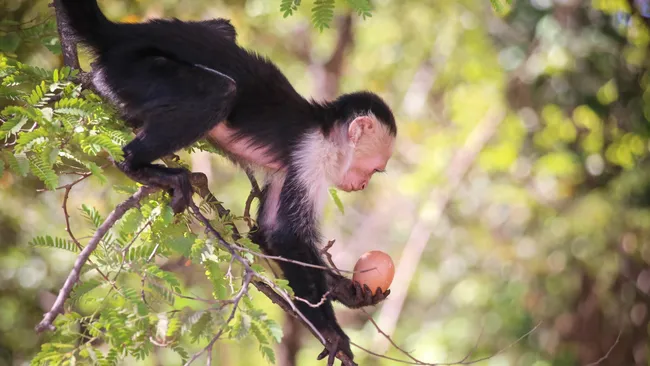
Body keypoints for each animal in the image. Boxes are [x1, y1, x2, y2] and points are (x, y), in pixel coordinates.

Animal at [59, 0, 394, 364]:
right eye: (375, 170)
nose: (363, 185)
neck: (325, 132)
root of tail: (123, 33)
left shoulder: (293, 166)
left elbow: (266, 234)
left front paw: (347, 291)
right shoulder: (312, 156)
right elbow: (286, 237)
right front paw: (332, 331)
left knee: (223, 29)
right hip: (134, 69)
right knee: (219, 92)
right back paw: (137, 165)